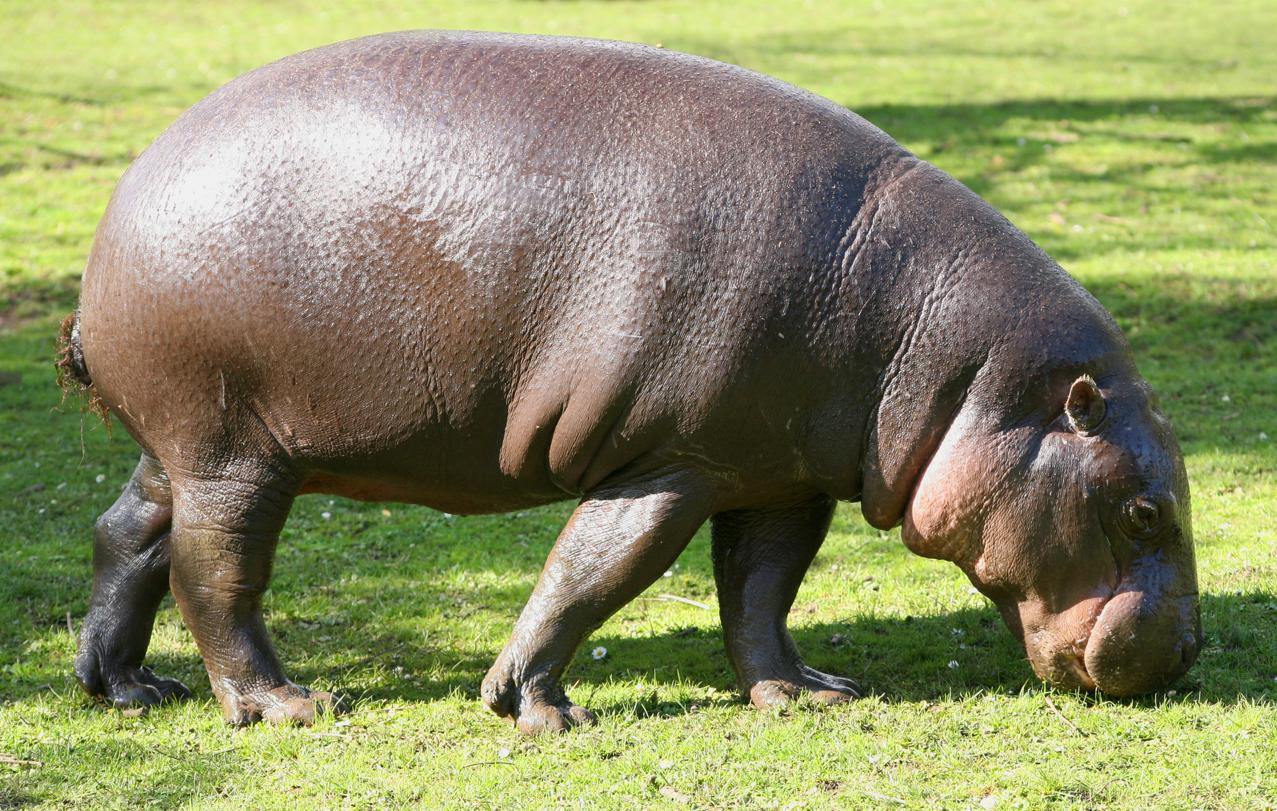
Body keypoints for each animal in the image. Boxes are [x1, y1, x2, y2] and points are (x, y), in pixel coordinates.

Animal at [60, 31, 1195, 730]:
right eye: (1145, 510)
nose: (1187, 652)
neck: (963, 371)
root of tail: (118, 208)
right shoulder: (673, 460)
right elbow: (595, 571)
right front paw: (536, 709)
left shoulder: (774, 470)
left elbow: (760, 590)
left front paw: (807, 691)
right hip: (236, 451)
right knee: (216, 571)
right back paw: (287, 705)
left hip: (183, 445)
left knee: (128, 534)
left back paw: (128, 687)